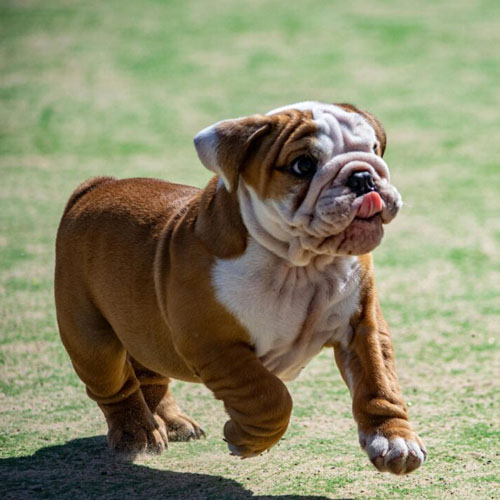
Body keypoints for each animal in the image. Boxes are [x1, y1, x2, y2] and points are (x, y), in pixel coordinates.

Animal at [55, 101, 426, 474]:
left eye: (374, 149)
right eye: (303, 165)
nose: (363, 176)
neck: (300, 264)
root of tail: (94, 189)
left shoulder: (362, 327)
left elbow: (379, 382)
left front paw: (394, 440)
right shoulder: (215, 345)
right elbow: (268, 396)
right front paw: (245, 439)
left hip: (143, 329)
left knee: (150, 372)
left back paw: (172, 422)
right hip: (92, 339)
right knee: (116, 386)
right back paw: (138, 434)